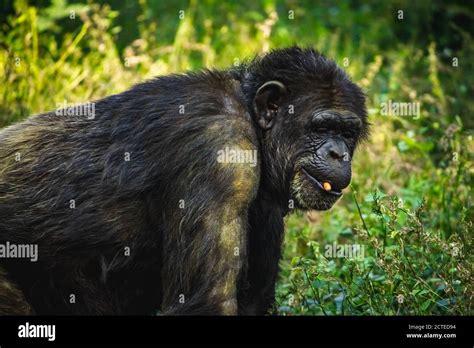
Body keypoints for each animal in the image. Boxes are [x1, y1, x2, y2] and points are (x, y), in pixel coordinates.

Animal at [0, 46, 368, 316]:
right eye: (321, 127)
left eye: (347, 132)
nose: (338, 153)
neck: (253, 121)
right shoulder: (220, 155)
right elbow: (209, 301)